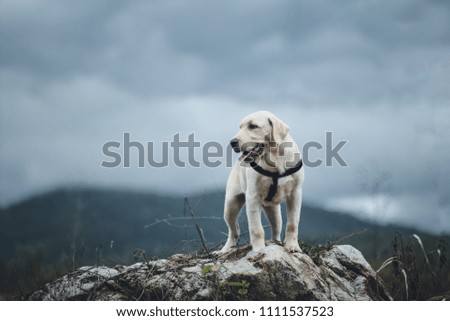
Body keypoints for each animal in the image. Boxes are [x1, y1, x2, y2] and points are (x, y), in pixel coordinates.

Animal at [216, 110, 304, 252]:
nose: (232, 142)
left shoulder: (295, 193)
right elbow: (256, 228)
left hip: (274, 211)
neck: (274, 158)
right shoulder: (252, 196)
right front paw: (259, 249)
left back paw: (276, 242)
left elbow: (292, 223)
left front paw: (293, 246)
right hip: (230, 206)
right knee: (233, 231)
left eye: (253, 126)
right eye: (240, 127)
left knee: (276, 229)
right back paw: (225, 249)